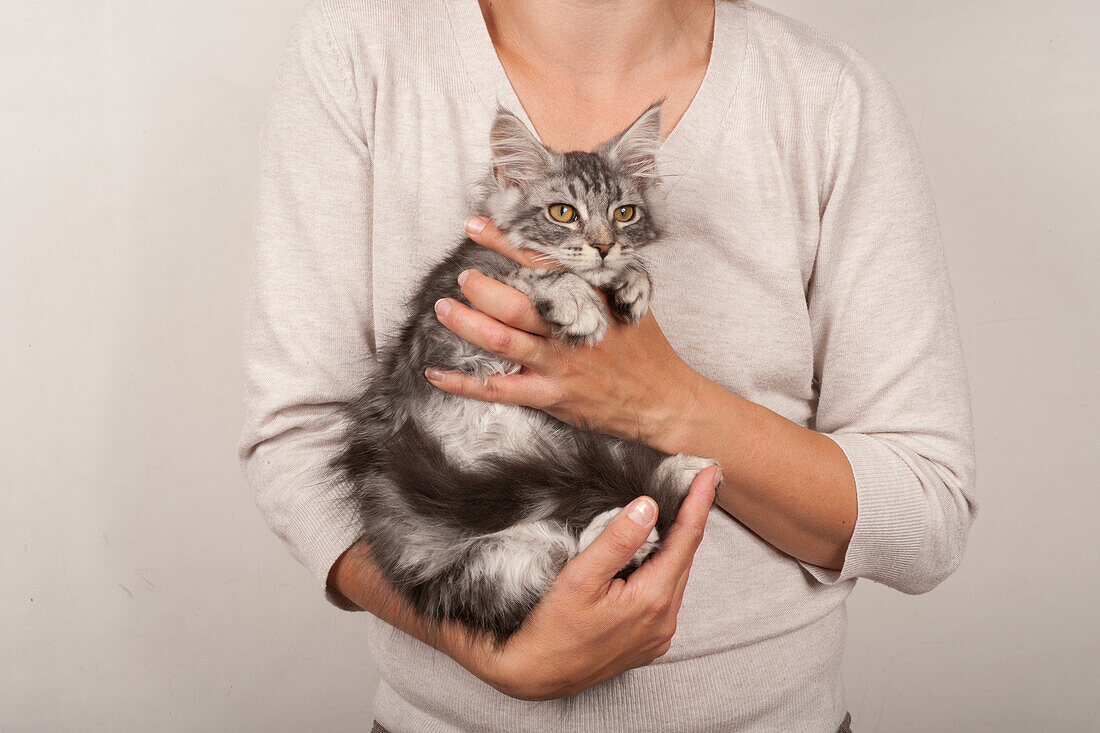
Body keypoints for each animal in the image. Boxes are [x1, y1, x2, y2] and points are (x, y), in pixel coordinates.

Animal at [330, 102, 717, 638]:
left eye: (624, 213)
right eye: (563, 213)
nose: (603, 247)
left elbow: (626, 269)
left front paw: (633, 281)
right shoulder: (449, 308)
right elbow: (529, 271)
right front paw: (576, 298)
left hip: (575, 453)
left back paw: (669, 482)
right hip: (474, 567)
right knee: (555, 566)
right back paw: (632, 521)